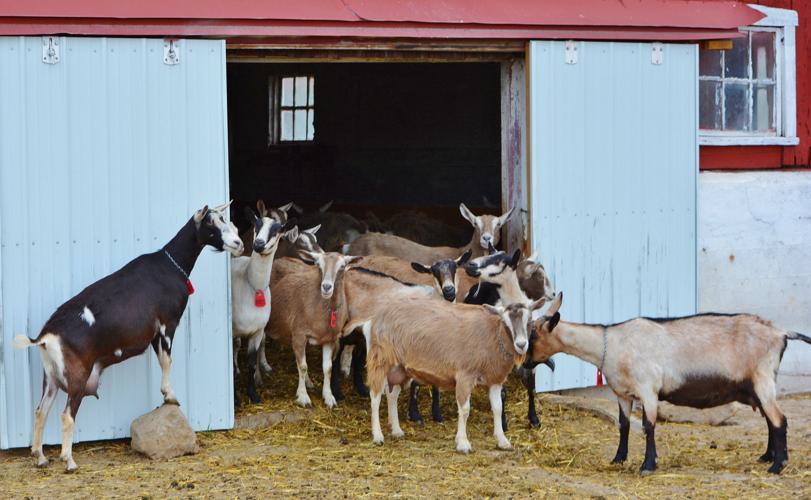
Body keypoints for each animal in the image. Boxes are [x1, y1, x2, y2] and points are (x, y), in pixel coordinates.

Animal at [12, 203, 243, 471]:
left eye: (223, 218)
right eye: (211, 223)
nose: (238, 243)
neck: (170, 265)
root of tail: (45, 337)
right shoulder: (166, 324)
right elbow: (167, 360)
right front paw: (170, 396)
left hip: (50, 376)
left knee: (41, 411)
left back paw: (40, 456)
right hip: (77, 374)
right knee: (66, 415)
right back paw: (68, 460)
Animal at [231, 207, 283, 405]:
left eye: (276, 230)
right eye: (256, 225)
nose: (259, 244)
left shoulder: (257, 331)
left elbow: (251, 363)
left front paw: (253, 394)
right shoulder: (231, 332)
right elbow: (231, 364)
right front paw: (236, 400)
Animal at [264, 251, 361, 407]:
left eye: (342, 267)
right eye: (318, 265)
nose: (326, 287)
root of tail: (279, 259)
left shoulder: (329, 339)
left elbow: (327, 368)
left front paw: (328, 397)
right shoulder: (299, 335)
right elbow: (303, 366)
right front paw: (303, 397)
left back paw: (308, 382)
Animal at [363, 296, 547, 452]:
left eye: (529, 321)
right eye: (506, 323)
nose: (521, 344)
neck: (493, 334)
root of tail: (378, 314)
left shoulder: (495, 379)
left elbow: (497, 408)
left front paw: (502, 441)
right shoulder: (465, 375)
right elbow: (465, 410)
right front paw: (463, 443)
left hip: (400, 367)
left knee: (392, 395)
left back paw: (397, 430)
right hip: (380, 358)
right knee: (375, 396)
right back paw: (378, 436)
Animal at [526, 292, 811, 475]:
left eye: (534, 334)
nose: (525, 362)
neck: (613, 344)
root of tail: (782, 332)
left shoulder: (648, 389)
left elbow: (648, 426)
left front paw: (648, 466)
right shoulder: (622, 394)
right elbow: (624, 426)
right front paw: (618, 459)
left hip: (763, 380)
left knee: (779, 420)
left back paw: (777, 466)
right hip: (758, 386)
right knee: (770, 421)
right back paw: (767, 457)